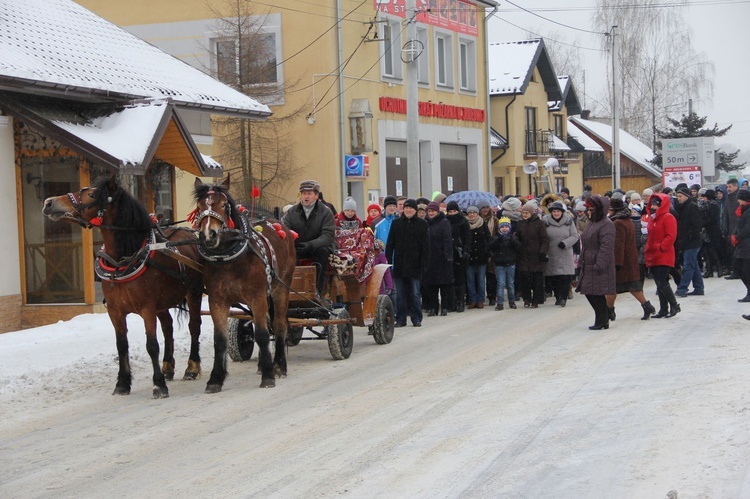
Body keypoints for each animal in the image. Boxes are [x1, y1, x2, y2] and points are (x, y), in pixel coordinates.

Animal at [42, 176, 204, 398]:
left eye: (91, 194)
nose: (49, 202)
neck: (124, 258)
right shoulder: (115, 311)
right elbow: (121, 345)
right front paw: (122, 383)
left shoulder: (147, 309)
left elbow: (151, 345)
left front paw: (158, 385)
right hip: (162, 304)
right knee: (168, 327)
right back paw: (168, 367)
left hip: (193, 293)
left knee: (194, 326)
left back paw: (191, 368)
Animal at [192, 178, 296, 392]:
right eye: (199, 206)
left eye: (224, 205)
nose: (209, 235)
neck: (229, 259)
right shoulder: (217, 301)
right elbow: (220, 340)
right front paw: (215, 379)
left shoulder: (257, 297)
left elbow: (263, 335)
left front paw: (268, 376)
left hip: (281, 289)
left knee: (278, 326)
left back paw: (278, 365)